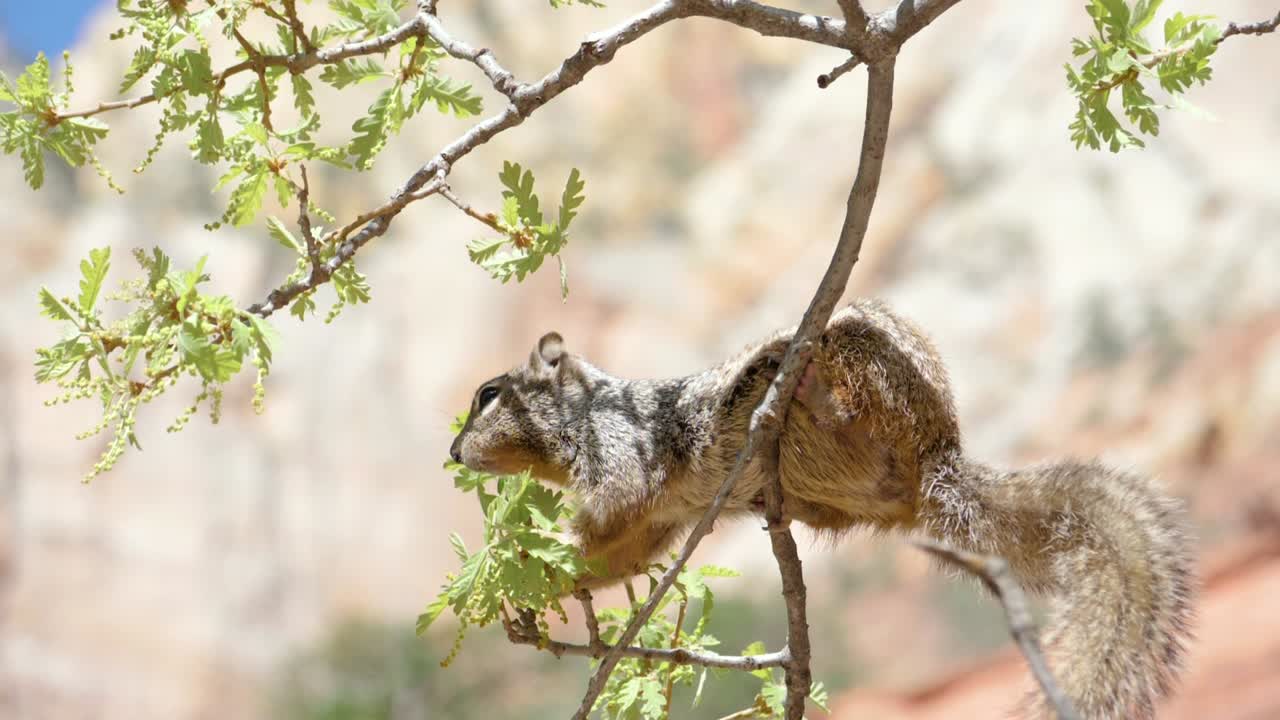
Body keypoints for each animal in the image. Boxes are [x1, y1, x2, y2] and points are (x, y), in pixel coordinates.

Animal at [449, 298, 1194, 720]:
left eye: (488, 394)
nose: (453, 451)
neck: (581, 417)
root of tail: (939, 460)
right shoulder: (653, 520)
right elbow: (614, 553)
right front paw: (523, 594)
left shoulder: (619, 451)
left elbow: (609, 508)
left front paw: (517, 559)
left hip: (863, 364)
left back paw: (807, 391)